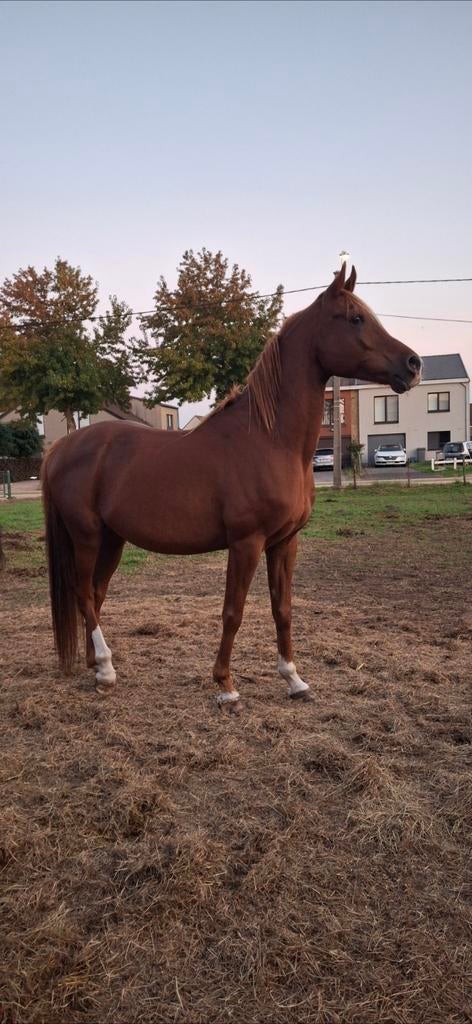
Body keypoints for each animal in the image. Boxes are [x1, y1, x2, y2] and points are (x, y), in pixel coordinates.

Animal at [41, 264, 421, 710]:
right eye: (355, 318)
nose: (413, 364)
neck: (270, 440)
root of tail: (62, 447)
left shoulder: (284, 542)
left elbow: (282, 609)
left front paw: (294, 679)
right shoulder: (246, 543)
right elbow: (233, 612)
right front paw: (225, 685)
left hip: (112, 539)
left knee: (97, 594)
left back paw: (96, 666)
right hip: (85, 536)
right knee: (84, 592)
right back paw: (104, 667)